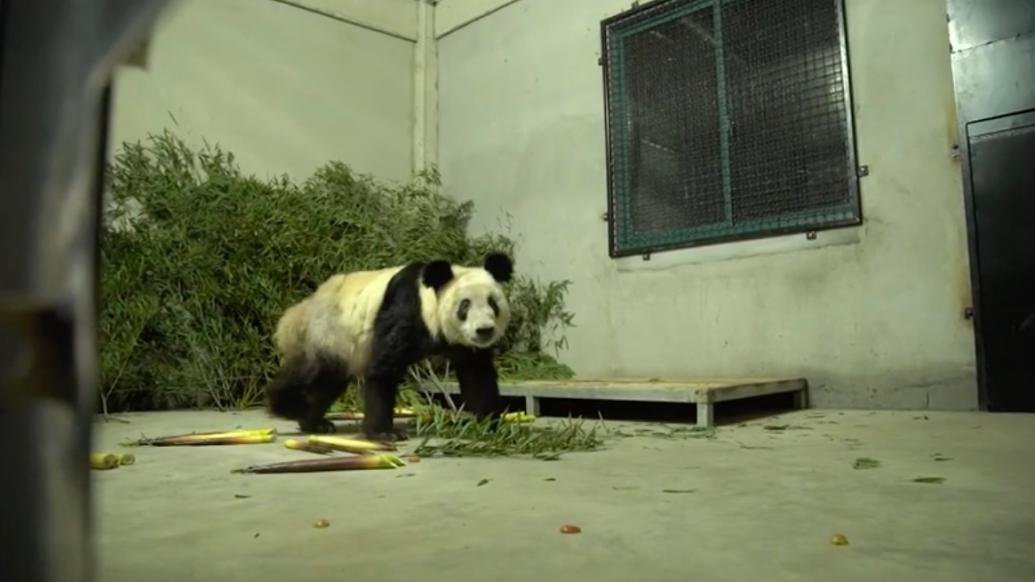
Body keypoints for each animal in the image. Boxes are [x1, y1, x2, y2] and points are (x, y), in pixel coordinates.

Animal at [262, 251, 513, 437]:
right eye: (465, 306)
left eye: (493, 303)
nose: (484, 330)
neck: (431, 300)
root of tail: (306, 306)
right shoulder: (407, 309)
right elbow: (384, 367)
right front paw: (384, 433)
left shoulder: (466, 345)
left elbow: (477, 374)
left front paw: (490, 425)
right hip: (331, 332)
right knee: (312, 372)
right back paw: (289, 407)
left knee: (328, 383)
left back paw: (314, 423)